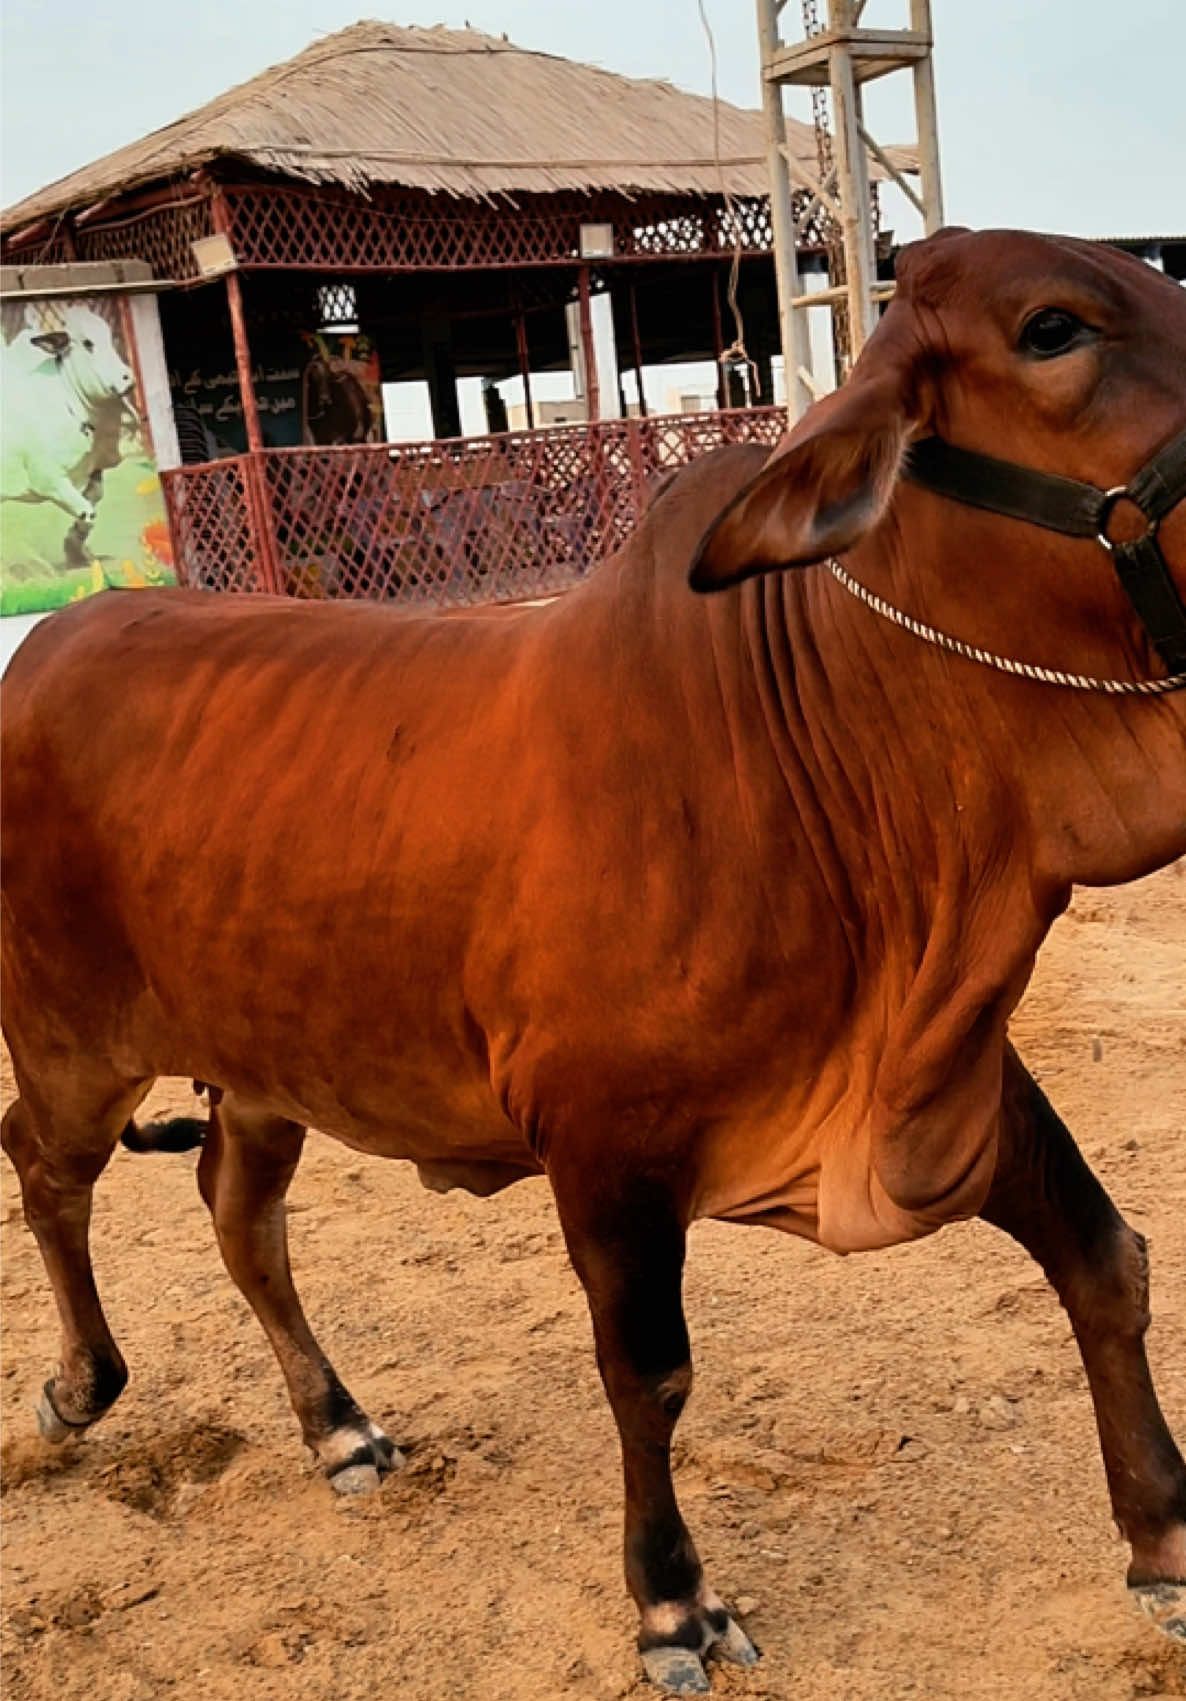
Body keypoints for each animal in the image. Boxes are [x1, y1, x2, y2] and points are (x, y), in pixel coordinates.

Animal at [0, 303, 136, 566]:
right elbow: (88, 512)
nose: (128, 377)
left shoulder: (94, 467)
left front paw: (76, 549)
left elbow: (94, 498)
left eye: (110, 336)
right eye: (87, 343)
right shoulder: (50, 481)